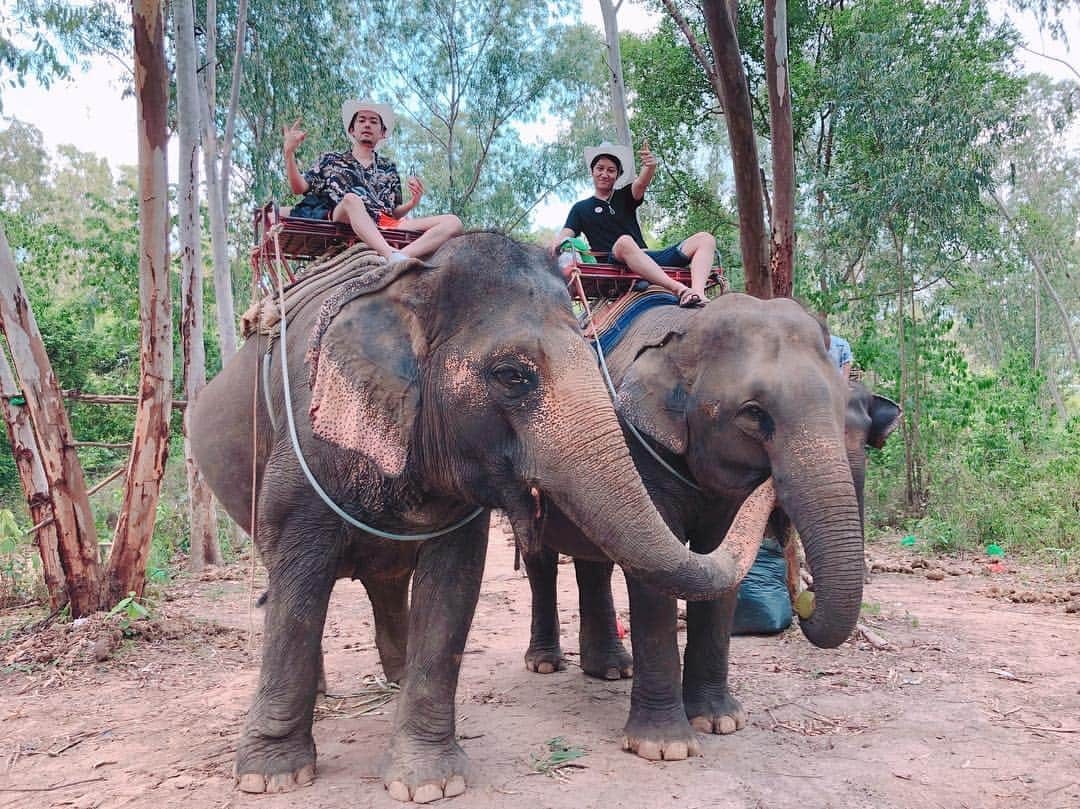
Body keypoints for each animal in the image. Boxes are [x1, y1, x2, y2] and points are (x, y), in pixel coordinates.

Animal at [187, 232, 777, 803]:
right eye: (512, 375)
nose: (764, 443)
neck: (412, 289)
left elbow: (452, 584)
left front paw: (427, 782)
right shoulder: (305, 449)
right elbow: (298, 584)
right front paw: (272, 777)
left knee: (386, 578)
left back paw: (397, 679)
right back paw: (326, 692)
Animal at [522, 293, 902, 760]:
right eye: (754, 414)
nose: (806, 599)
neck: (687, 331)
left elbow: (720, 562)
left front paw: (720, 721)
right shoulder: (639, 448)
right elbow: (659, 575)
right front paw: (664, 747)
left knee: (595, 563)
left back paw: (612, 669)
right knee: (539, 558)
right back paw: (545, 663)